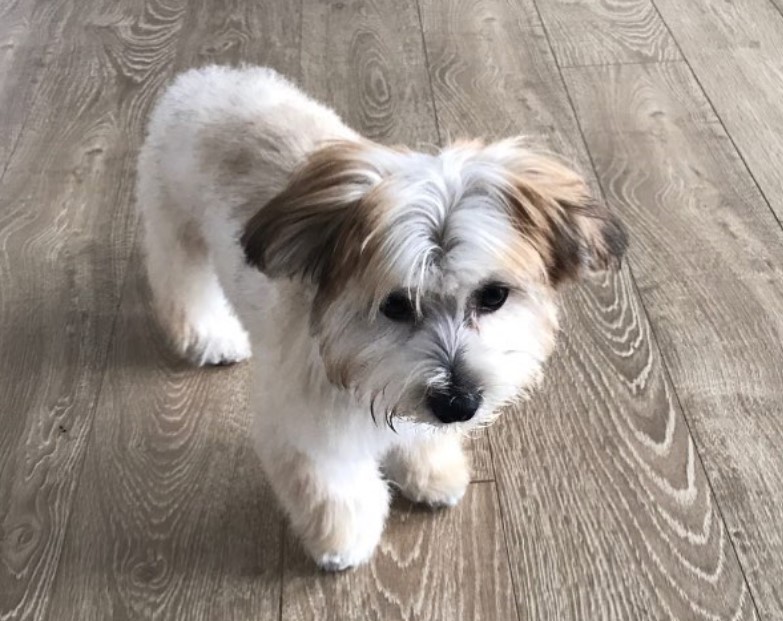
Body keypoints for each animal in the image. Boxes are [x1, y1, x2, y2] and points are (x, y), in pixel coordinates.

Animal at [133, 65, 624, 568]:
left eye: (493, 296)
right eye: (395, 305)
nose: (459, 404)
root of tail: (205, 79)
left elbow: (421, 434)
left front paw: (431, 471)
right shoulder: (310, 431)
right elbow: (334, 490)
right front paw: (342, 540)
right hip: (175, 223)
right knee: (183, 284)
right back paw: (210, 337)